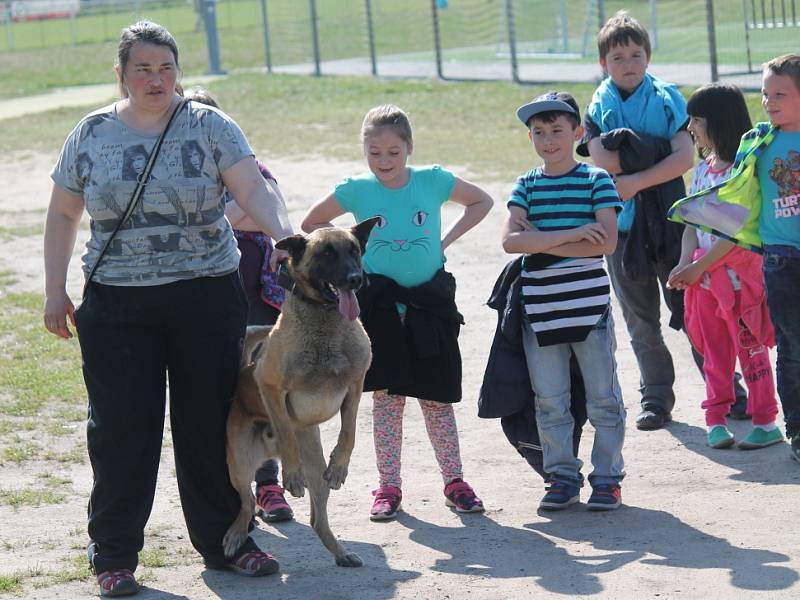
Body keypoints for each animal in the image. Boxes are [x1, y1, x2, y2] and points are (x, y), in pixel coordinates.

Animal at [222, 217, 378, 568]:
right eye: (326, 254)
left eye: (354, 250)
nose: (356, 279)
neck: (326, 323)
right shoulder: (270, 385)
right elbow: (286, 431)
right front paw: (292, 474)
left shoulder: (356, 385)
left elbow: (349, 431)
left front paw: (340, 466)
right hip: (238, 463)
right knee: (246, 503)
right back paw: (236, 535)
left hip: (315, 471)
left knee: (317, 519)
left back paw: (341, 552)